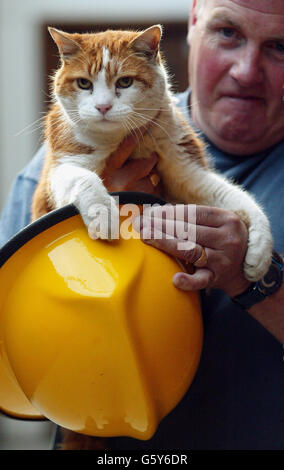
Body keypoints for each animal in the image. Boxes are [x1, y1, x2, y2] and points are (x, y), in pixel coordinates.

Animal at [32, 25, 272, 280]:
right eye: (84, 84)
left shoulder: (187, 173)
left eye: (125, 82)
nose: (103, 107)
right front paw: (103, 215)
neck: (124, 138)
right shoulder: (61, 169)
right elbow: (85, 178)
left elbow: (236, 197)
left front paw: (261, 253)